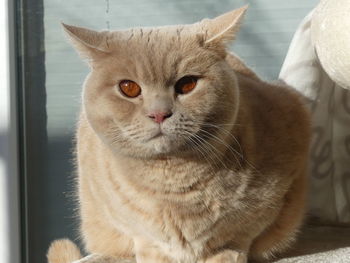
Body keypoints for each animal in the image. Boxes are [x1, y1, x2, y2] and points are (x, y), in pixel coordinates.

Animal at [46, 5, 308, 263]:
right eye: (129, 88)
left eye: (187, 84)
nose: (159, 114)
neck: (173, 183)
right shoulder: (126, 221)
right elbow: (147, 242)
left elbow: (237, 237)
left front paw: (224, 255)